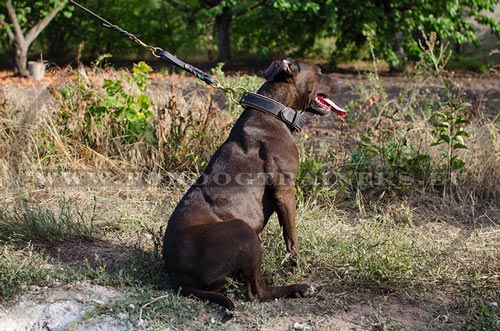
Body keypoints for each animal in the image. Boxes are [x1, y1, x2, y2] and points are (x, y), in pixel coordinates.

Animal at [162, 59, 346, 312]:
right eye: (319, 71)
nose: (341, 81)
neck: (273, 111)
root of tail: (176, 276)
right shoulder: (285, 191)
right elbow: (291, 237)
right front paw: (297, 266)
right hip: (244, 231)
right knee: (256, 293)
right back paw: (298, 288)